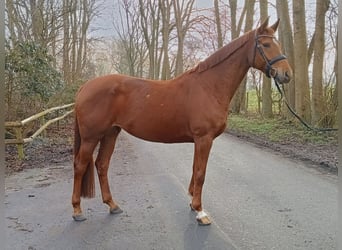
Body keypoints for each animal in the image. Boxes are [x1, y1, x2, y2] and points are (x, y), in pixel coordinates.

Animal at [71, 17, 292, 225]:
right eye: (265, 45)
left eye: (278, 43)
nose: (287, 74)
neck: (209, 87)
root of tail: (84, 87)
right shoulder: (204, 138)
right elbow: (201, 173)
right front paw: (201, 212)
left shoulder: (199, 140)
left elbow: (195, 170)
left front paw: (193, 205)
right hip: (91, 137)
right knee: (80, 165)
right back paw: (77, 211)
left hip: (111, 133)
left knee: (102, 165)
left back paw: (113, 205)